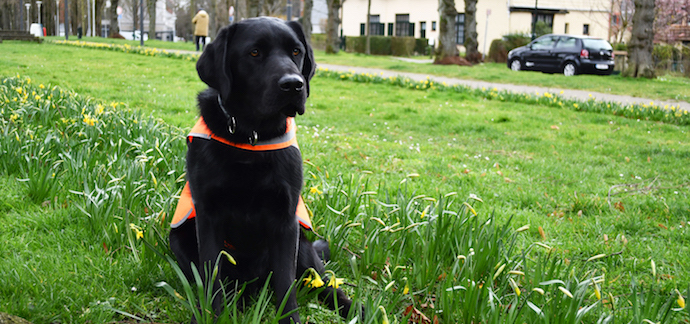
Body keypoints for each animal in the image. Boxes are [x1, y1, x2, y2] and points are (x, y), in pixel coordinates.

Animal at [167, 16, 354, 322]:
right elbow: (211, 273)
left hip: (304, 247)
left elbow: (285, 283)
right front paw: (210, 315)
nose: (294, 85)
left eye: (296, 51)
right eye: (254, 53)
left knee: (324, 284)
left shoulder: (285, 220)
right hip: (178, 238)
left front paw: (289, 319)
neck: (251, 136)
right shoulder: (208, 215)